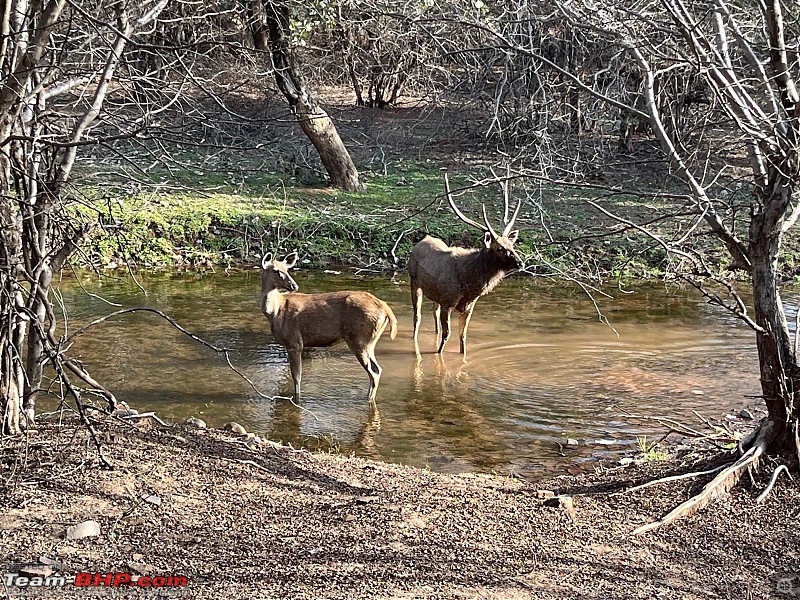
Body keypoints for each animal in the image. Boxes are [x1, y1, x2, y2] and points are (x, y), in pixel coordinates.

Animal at [260, 253, 396, 408]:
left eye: (287, 269)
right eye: (276, 270)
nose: (294, 285)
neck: (275, 311)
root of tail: (385, 308)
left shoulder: (294, 341)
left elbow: (297, 376)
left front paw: (297, 399)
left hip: (359, 339)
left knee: (374, 372)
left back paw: (368, 399)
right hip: (370, 341)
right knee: (377, 369)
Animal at [410, 173, 520, 356]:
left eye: (512, 245)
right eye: (500, 248)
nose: (520, 262)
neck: (469, 285)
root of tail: (421, 240)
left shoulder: (469, 306)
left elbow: (463, 336)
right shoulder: (447, 302)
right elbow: (447, 335)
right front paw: (438, 355)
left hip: (435, 295)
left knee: (434, 315)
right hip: (414, 281)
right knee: (417, 317)